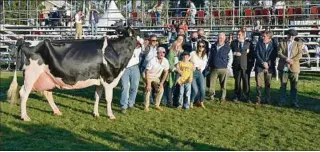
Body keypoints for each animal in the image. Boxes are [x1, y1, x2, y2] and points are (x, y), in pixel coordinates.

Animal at [7, 26, 144, 121]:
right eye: (140, 32)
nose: (147, 39)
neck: (116, 51)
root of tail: (24, 42)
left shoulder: (99, 80)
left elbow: (97, 96)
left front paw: (96, 113)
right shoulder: (108, 79)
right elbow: (108, 99)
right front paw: (111, 115)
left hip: (46, 76)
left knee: (47, 93)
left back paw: (57, 111)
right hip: (31, 75)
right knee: (24, 93)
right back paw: (25, 117)